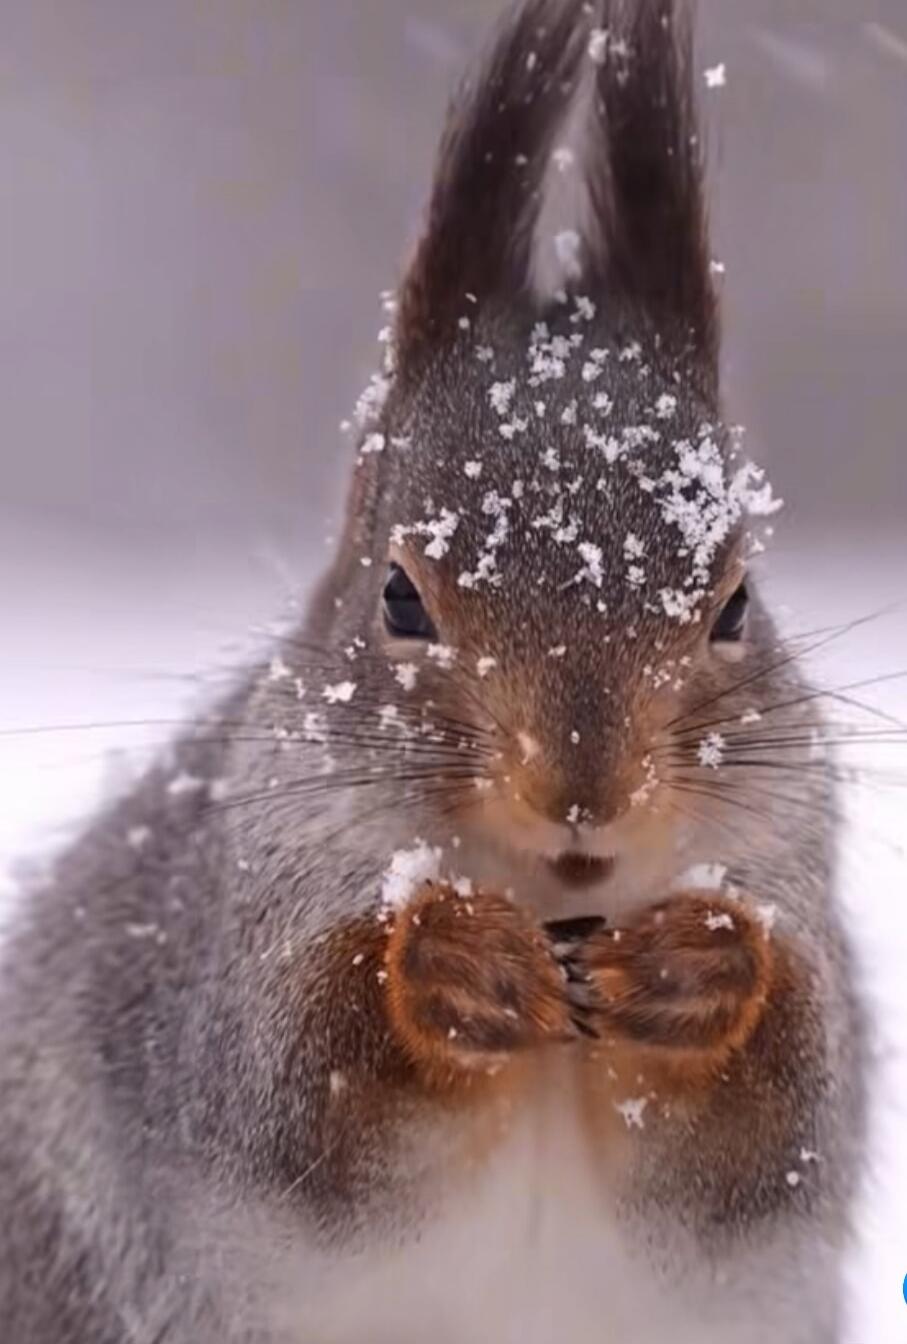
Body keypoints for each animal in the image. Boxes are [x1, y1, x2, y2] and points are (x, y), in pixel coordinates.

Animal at [0, 2, 867, 1341]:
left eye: (735, 605)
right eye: (400, 597)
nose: (582, 791)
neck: (558, 899)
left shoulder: (794, 878)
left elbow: (767, 1136)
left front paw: (701, 966)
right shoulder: (227, 946)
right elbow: (296, 1089)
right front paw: (450, 963)